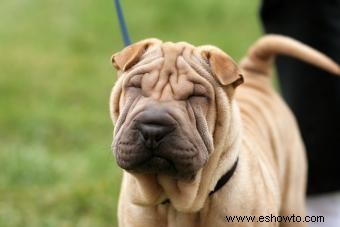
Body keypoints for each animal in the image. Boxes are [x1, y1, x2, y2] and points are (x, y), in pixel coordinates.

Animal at [109, 34, 340, 226]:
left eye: (197, 96)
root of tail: (257, 76)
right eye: (135, 86)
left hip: (292, 202)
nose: (153, 128)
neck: (179, 204)